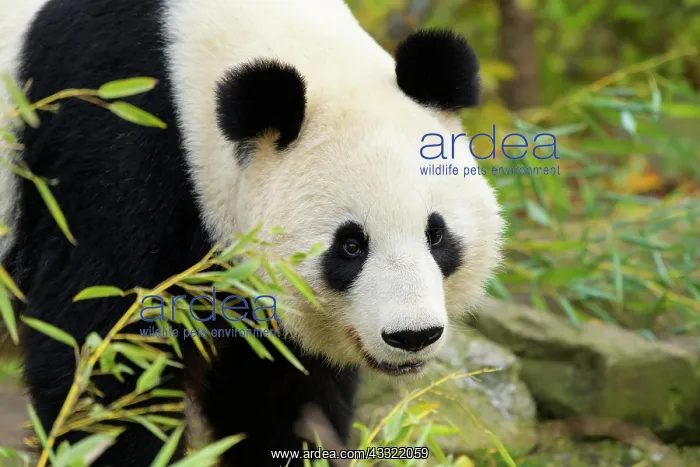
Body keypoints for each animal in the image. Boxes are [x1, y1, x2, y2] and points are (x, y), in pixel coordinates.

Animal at [0, 0, 505, 465]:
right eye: (350, 246)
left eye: (436, 235)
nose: (413, 335)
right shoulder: (111, 146)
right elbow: (107, 358)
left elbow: (277, 395)